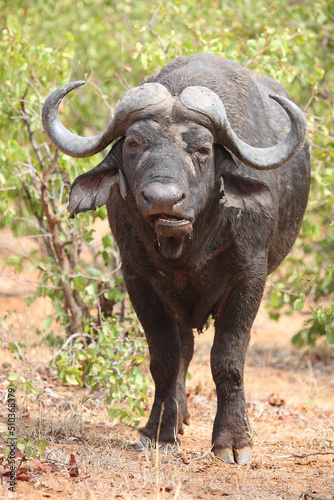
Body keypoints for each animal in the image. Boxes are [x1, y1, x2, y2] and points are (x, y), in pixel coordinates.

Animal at [42, 53, 310, 464]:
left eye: (201, 149)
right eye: (134, 143)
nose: (163, 199)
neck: (187, 246)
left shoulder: (250, 277)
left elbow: (228, 359)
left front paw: (234, 439)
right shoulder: (137, 279)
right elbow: (165, 358)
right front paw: (160, 434)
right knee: (182, 350)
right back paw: (172, 418)